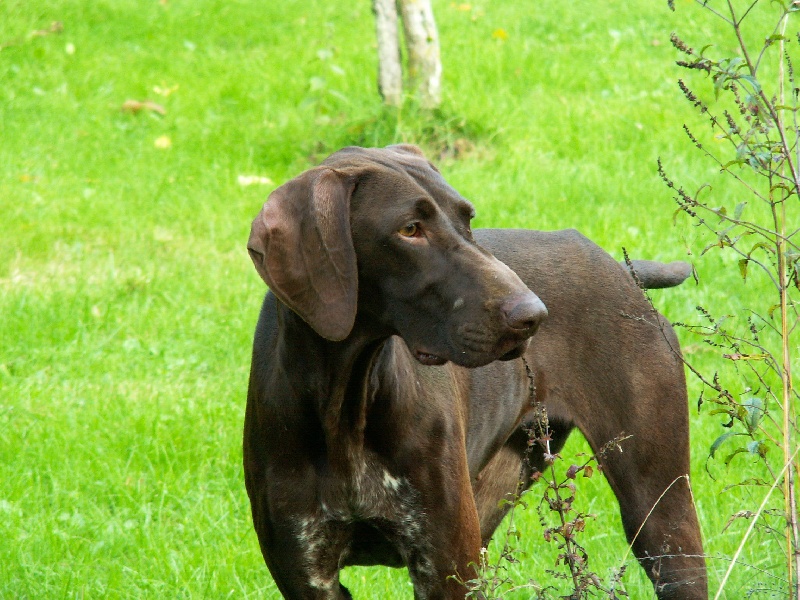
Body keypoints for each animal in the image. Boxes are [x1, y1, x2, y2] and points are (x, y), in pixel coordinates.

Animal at [244, 145, 708, 600]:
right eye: (410, 229)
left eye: (467, 218)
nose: (533, 315)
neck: (344, 407)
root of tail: (622, 269)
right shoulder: (310, 578)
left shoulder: (446, 569)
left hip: (662, 519)